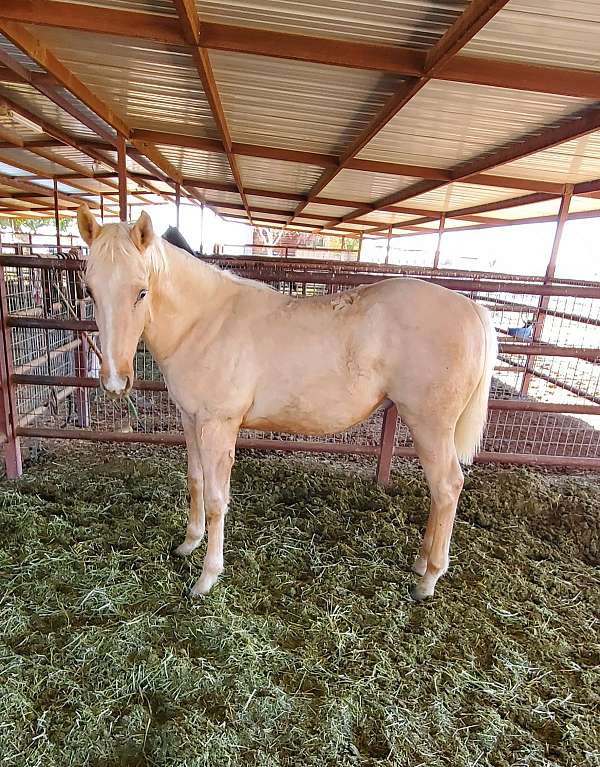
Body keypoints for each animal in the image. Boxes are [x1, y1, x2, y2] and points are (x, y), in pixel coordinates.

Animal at [76, 207, 496, 604]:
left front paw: (208, 577)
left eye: (141, 292)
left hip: (429, 425)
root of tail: (471, 309)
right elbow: (195, 482)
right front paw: (188, 544)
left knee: (447, 487)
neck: (205, 322)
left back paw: (428, 579)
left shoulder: (218, 426)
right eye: (90, 291)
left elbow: (216, 500)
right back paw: (421, 562)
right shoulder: (190, 420)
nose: (114, 382)